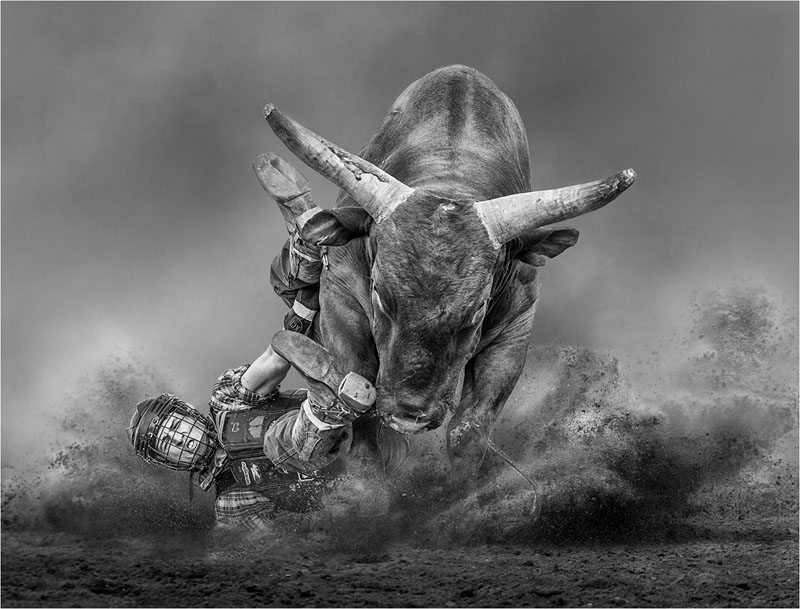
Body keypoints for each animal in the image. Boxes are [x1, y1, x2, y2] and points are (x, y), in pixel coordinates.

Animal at [263, 65, 635, 483]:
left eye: (477, 309)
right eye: (380, 295)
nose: (410, 412)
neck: (451, 176)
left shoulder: (514, 332)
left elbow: (468, 431)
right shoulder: (341, 303)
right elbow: (362, 411)